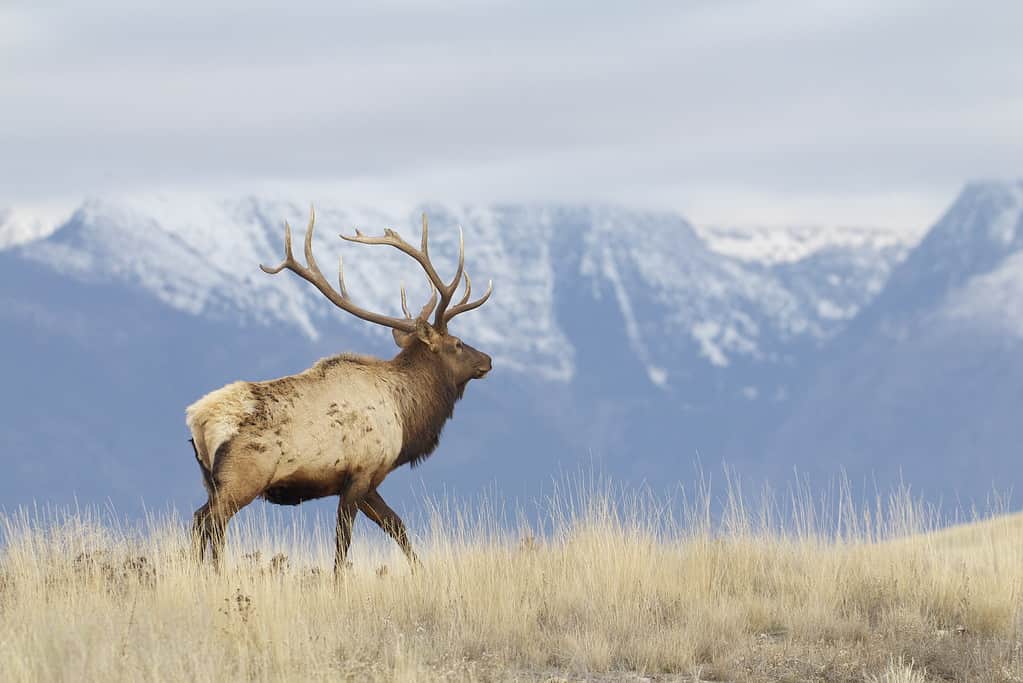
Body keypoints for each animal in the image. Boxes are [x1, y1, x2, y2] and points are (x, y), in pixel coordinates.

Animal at [186, 210, 493, 572]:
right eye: (457, 343)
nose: (487, 360)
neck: (405, 416)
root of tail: (198, 420)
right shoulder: (360, 473)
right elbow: (343, 541)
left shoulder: (369, 481)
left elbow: (397, 526)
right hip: (242, 478)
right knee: (208, 522)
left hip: (211, 481)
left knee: (205, 523)